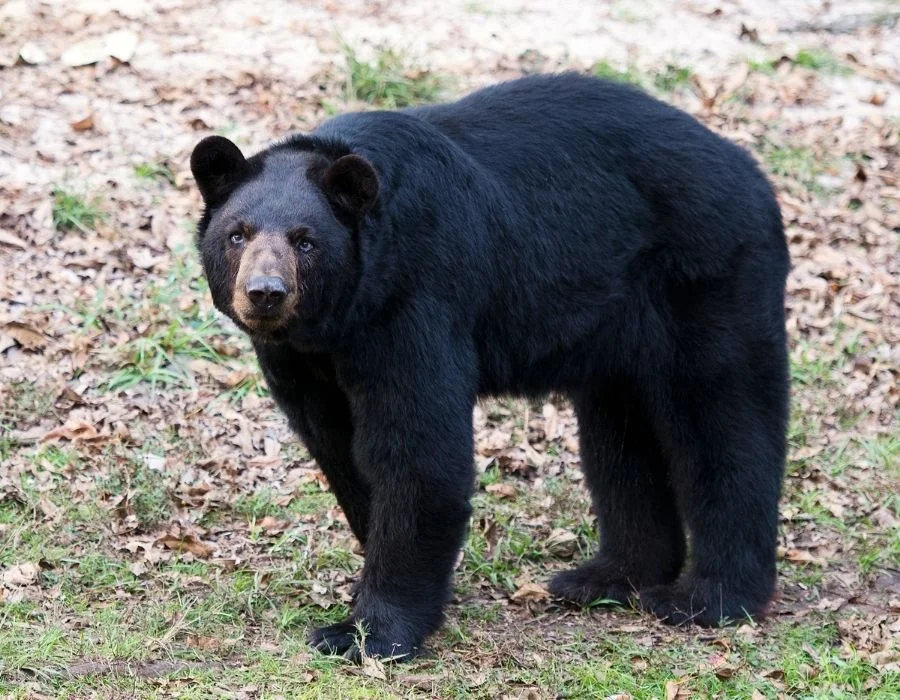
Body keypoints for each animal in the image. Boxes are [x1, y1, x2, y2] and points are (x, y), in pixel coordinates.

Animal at [190, 72, 788, 660]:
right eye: (238, 233)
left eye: (306, 241)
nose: (266, 293)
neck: (340, 320)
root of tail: (752, 170)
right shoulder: (300, 358)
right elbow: (339, 447)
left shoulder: (413, 300)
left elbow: (418, 450)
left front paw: (367, 631)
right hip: (615, 330)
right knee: (619, 439)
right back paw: (607, 577)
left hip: (706, 278)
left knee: (723, 423)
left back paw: (708, 597)